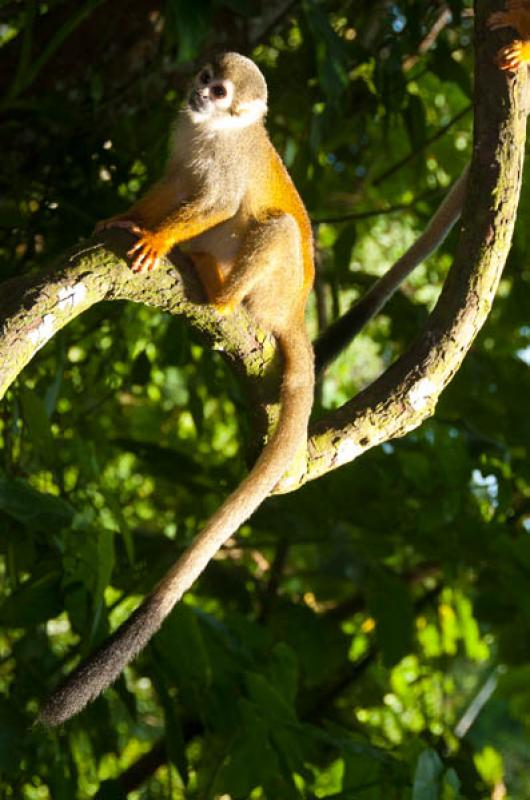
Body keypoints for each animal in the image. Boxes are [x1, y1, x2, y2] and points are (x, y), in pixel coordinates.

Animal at [41, 50, 316, 724]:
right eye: (202, 79)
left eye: (219, 92)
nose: (198, 92)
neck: (213, 131)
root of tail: (296, 314)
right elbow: (173, 186)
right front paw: (130, 216)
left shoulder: (229, 156)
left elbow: (215, 200)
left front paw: (160, 236)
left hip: (275, 290)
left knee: (271, 227)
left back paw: (217, 294)